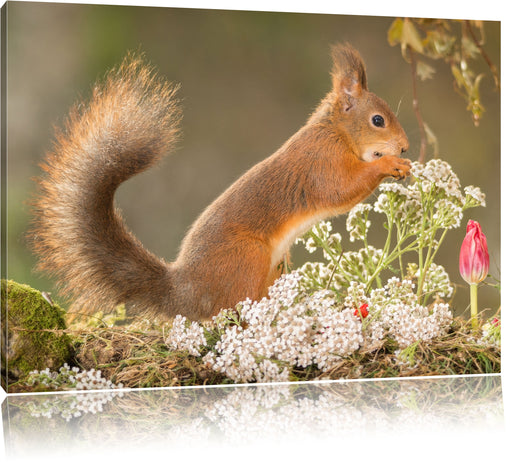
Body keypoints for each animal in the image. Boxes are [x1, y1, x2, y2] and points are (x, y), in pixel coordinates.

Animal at [30, 45, 410, 324]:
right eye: (378, 120)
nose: (405, 147)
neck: (336, 132)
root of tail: (184, 292)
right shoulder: (321, 162)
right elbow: (342, 189)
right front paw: (389, 165)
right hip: (247, 258)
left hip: (275, 265)